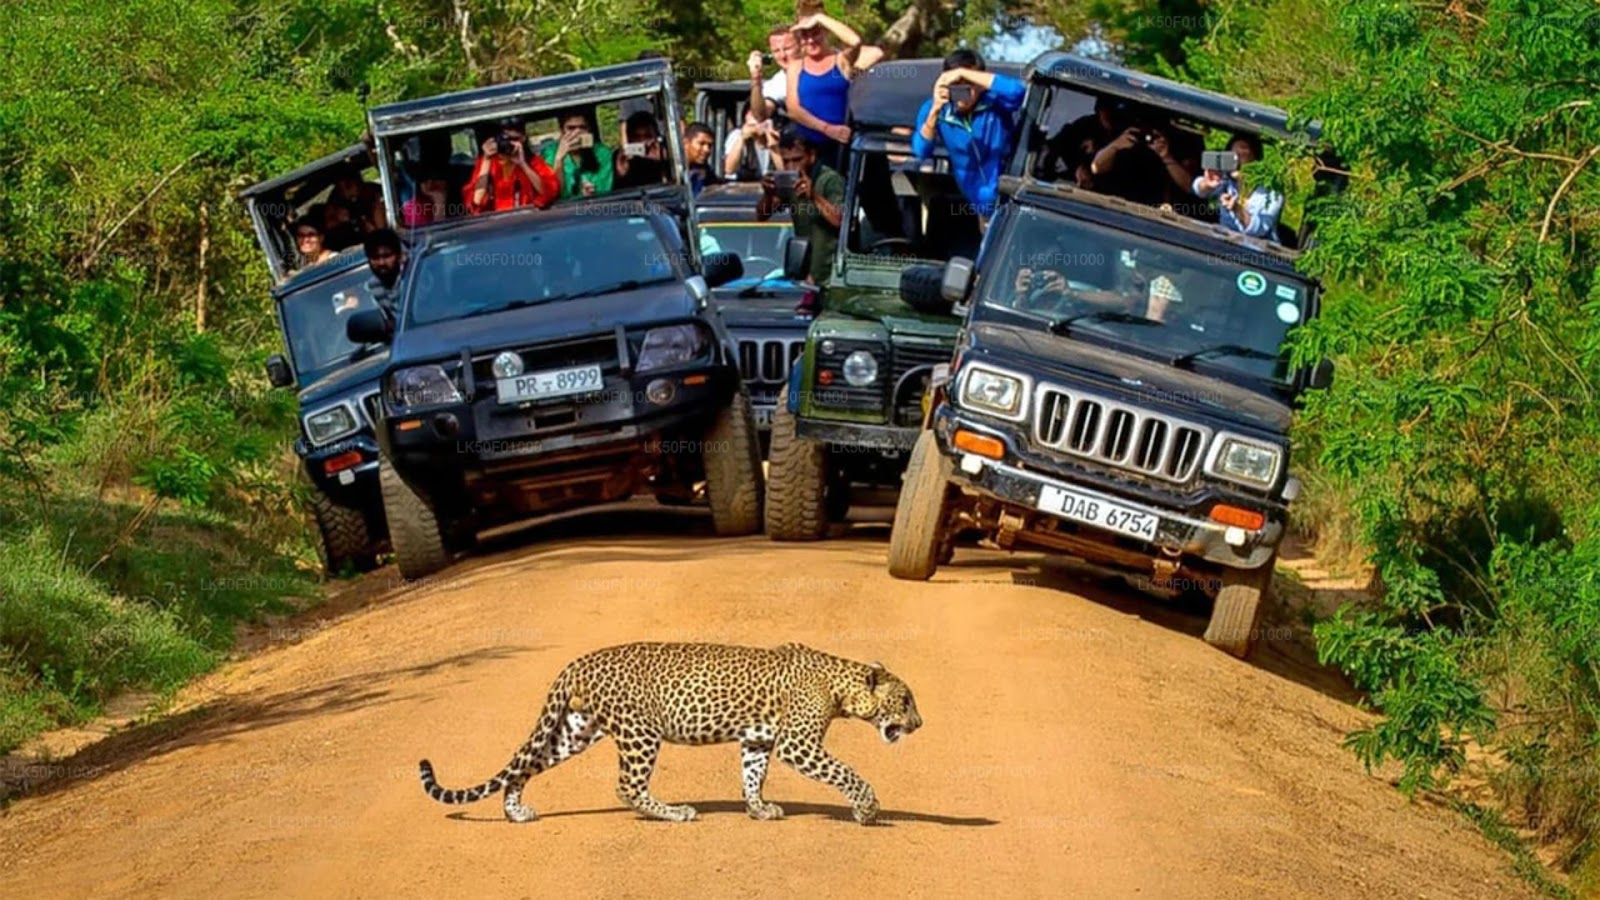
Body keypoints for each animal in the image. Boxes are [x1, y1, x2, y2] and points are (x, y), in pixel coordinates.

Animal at [419, 637, 921, 819]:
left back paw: (516, 811)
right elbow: (846, 773)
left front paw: (759, 809)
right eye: (906, 700)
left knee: (524, 766)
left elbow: (752, 777)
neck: (841, 686)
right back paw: (673, 813)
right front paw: (867, 809)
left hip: (575, 730)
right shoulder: (798, 744)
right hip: (640, 733)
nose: (920, 723)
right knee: (626, 786)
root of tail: (579, 660)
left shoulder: (757, 740)